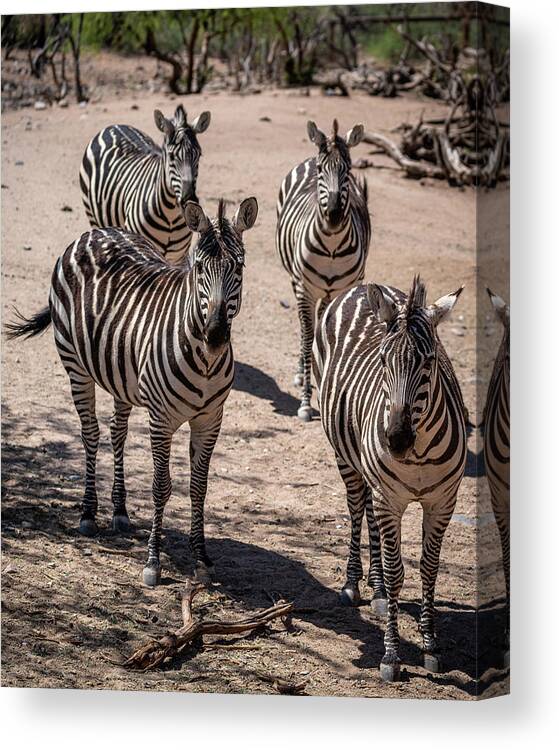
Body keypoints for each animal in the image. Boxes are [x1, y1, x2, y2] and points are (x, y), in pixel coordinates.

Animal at [5, 198, 260, 588]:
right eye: (199, 268)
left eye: (239, 267)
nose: (216, 336)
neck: (204, 362)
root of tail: (92, 232)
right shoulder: (161, 420)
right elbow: (161, 487)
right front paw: (153, 561)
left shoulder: (210, 420)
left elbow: (198, 488)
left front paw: (201, 558)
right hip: (76, 366)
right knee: (91, 434)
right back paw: (89, 514)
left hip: (121, 377)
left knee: (117, 433)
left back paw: (120, 510)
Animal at [82, 106, 213, 264]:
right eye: (171, 156)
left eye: (199, 155)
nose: (189, 198)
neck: (171, 215)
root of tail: (113, 126)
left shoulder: (179, 257)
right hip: (93, 216)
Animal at [276, 118, 372, 424]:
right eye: (321, 170)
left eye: (349, 169)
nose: (333, 216)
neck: (331, 245)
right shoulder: (303, 288)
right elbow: (308, 338)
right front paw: (306, 403)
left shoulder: (344, 290)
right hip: (299, 282)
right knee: (307, 329)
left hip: (328, 292)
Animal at [316, 280, 468, 684]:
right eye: (383, 360)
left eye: (429, 362)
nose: (396, 440)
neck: (419, 455)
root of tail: (365, 285)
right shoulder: (390, 498)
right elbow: (397, 571)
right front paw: (391, 656)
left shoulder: (443, 503)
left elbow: (429, 570)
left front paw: (431, 646)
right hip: (345, 455)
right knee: (357, 506)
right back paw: (354, 584)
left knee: (368, 512)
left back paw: (379, 591)